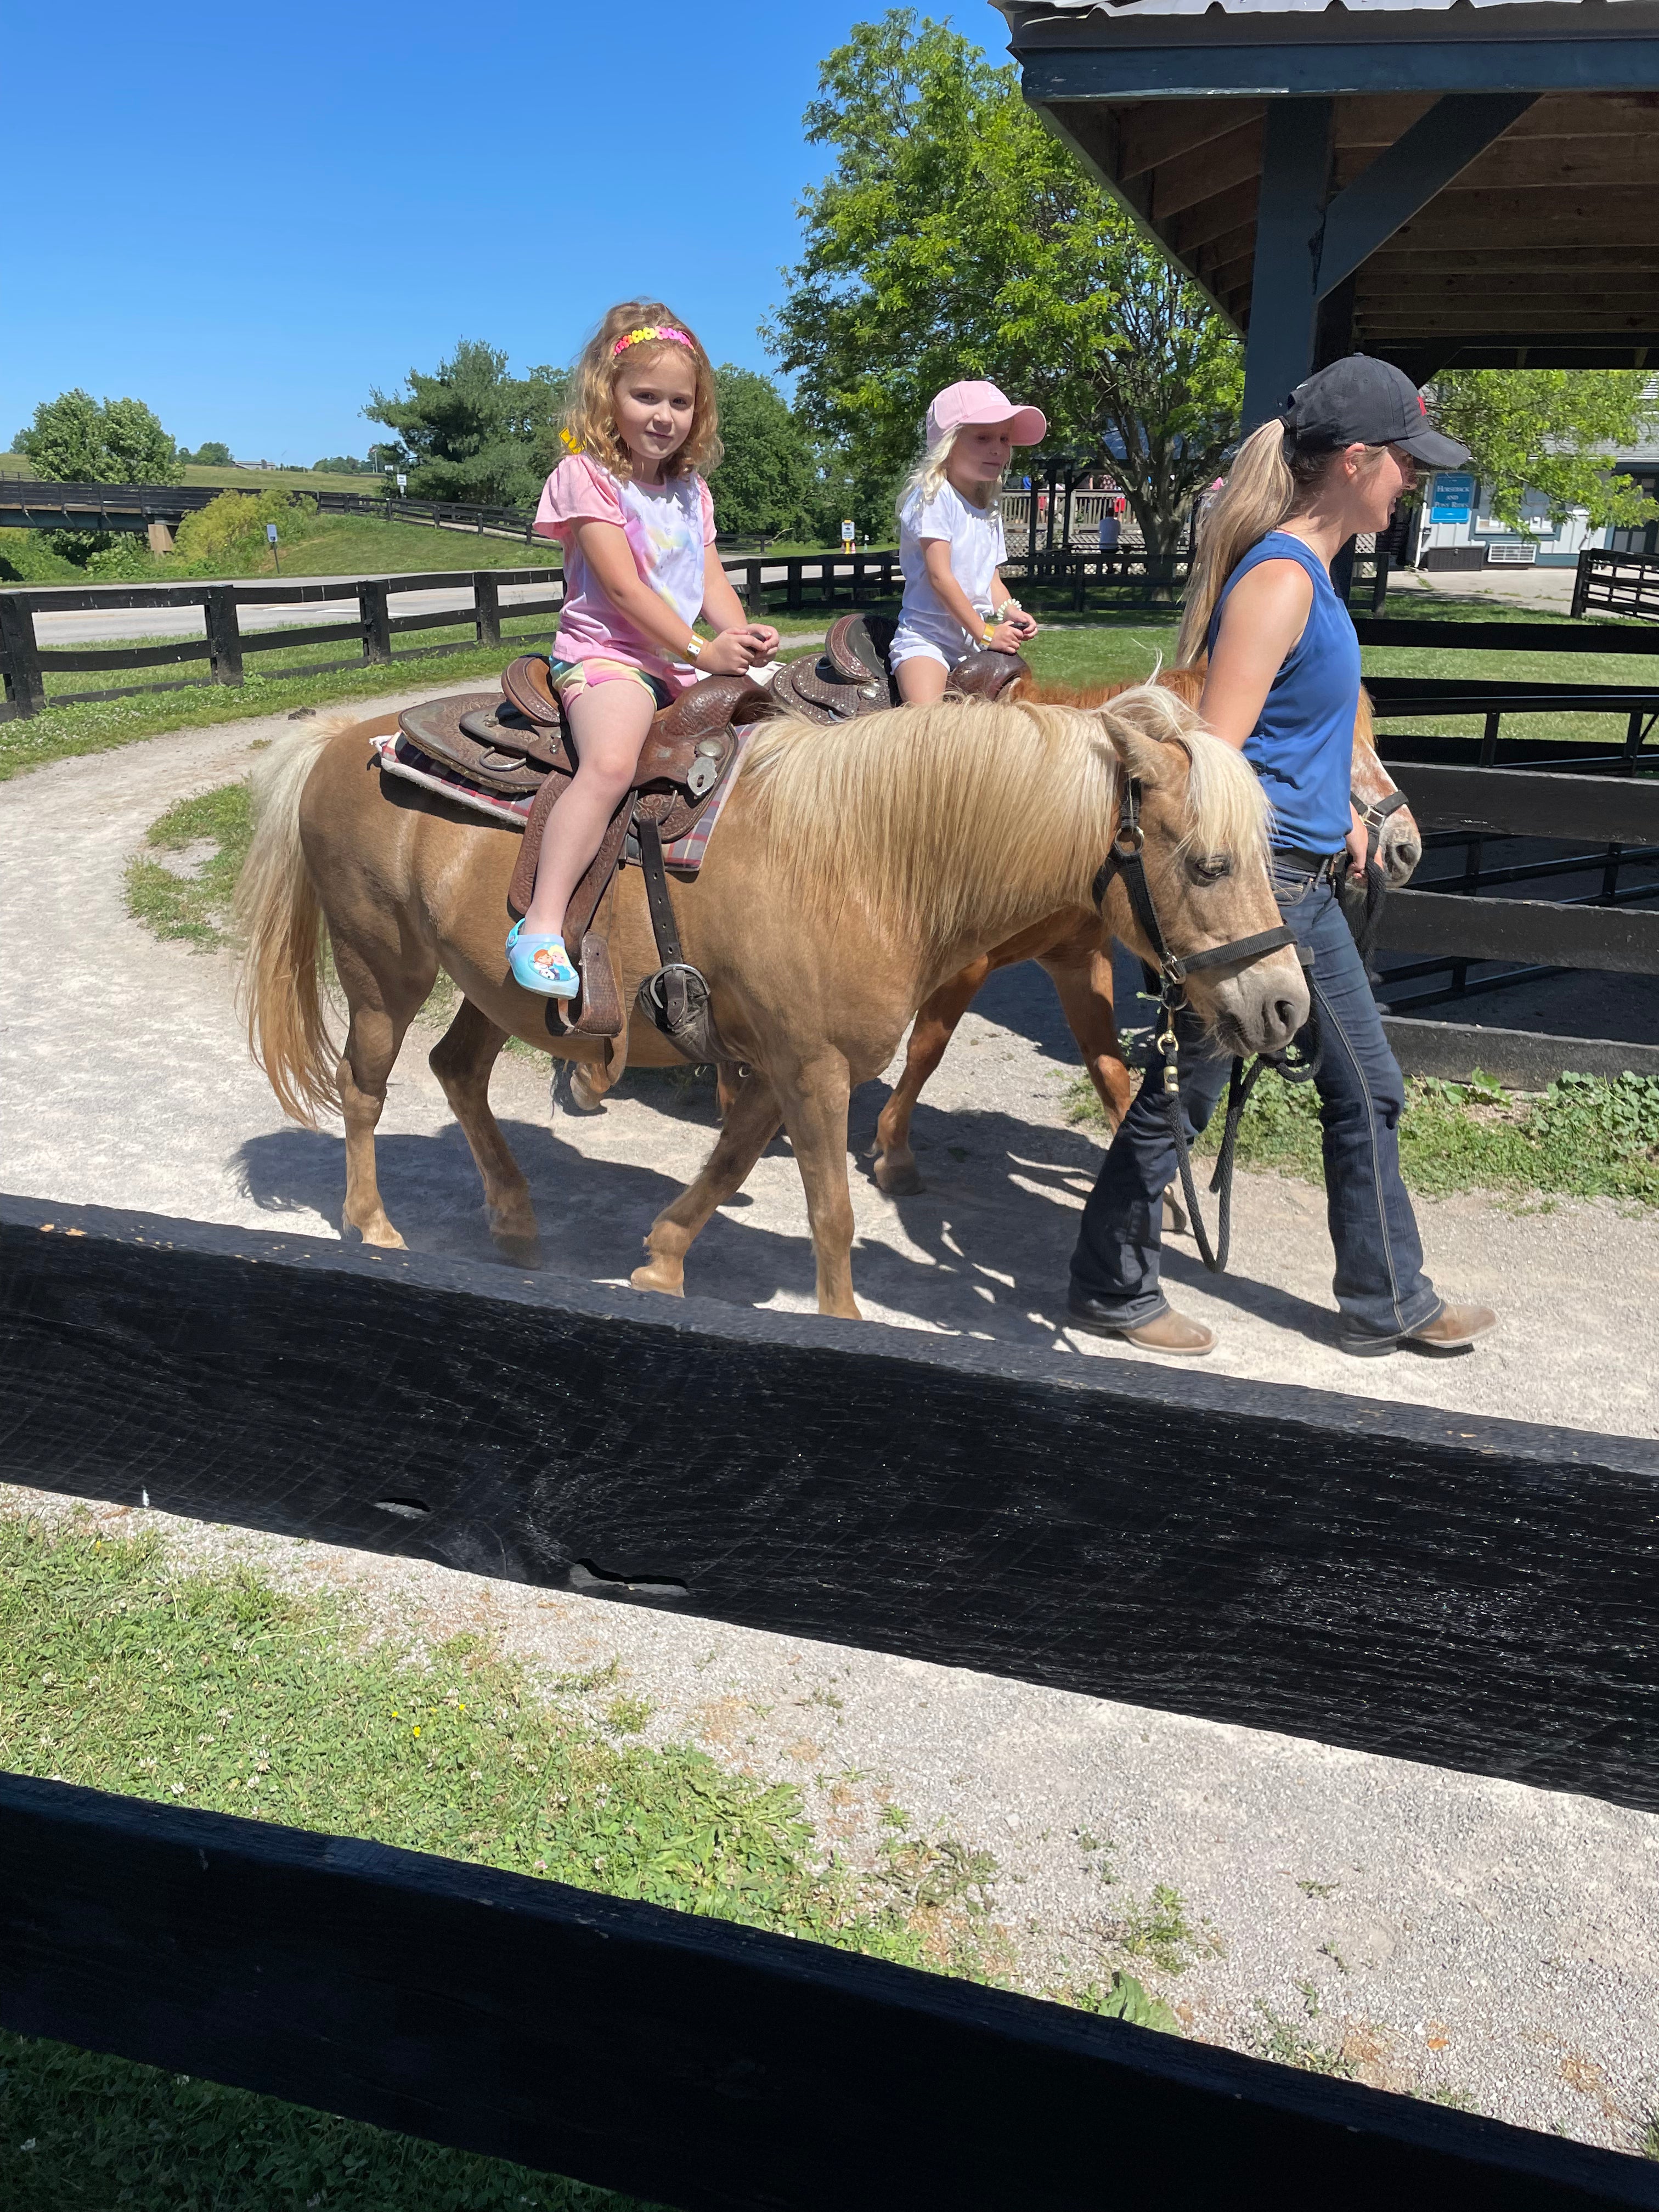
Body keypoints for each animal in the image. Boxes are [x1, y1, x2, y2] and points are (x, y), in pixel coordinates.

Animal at [240, 685, 1309, 1309]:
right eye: (1209, 865)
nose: (1287, 1009)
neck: (864, 857)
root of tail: (343, 741)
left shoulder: (783, 1065)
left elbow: (727, 1166)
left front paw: (661, 1262)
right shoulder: (812, 1069)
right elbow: (831, 1217)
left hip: (490, 990)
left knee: (456, 1071)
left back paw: (513, 1220)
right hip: (384, 970)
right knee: (366, 1089)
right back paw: (375, 1226)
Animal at [862, 668, 1424, 1203]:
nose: (1405, 849)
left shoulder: (1081, 960)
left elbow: (1108, 1065)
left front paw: (1164, 1190)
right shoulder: (963, 966)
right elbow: (927, 1050)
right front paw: (894, 1152)